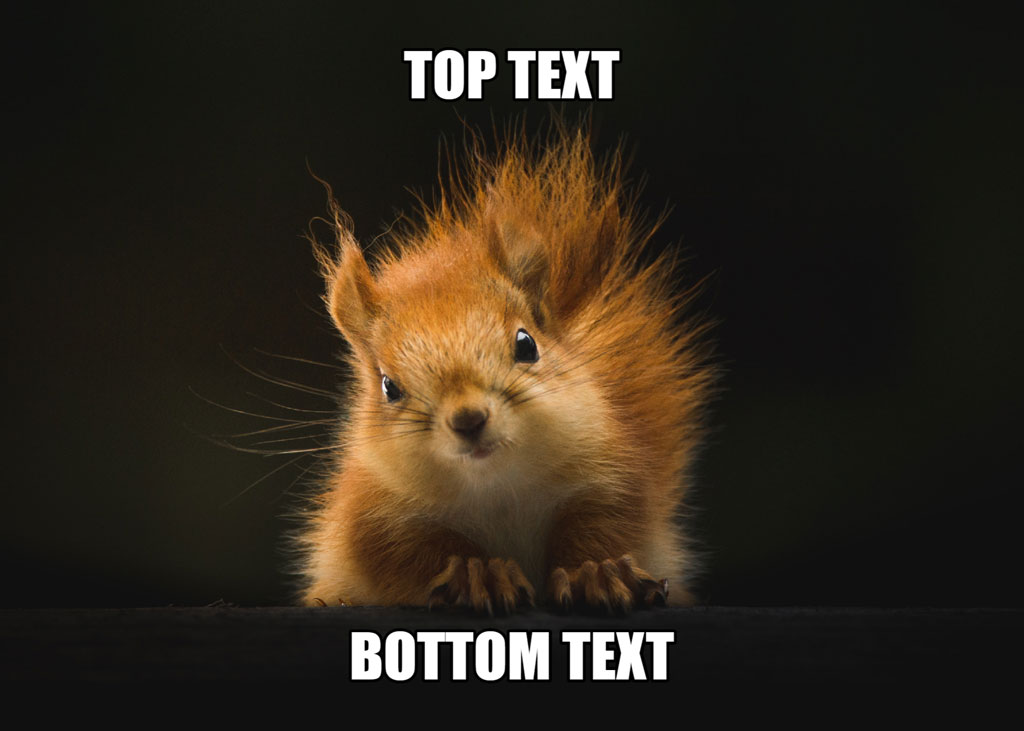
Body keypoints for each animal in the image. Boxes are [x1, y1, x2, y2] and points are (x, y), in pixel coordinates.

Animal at [297, 123, 713, 613]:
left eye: (526, 344)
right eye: (388, 387)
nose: (468, 419)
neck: (496, 487)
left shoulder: (611, 475)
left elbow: (606, 526)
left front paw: (598, 571)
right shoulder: (373, 515)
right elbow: (410, 554)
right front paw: (478, 574)